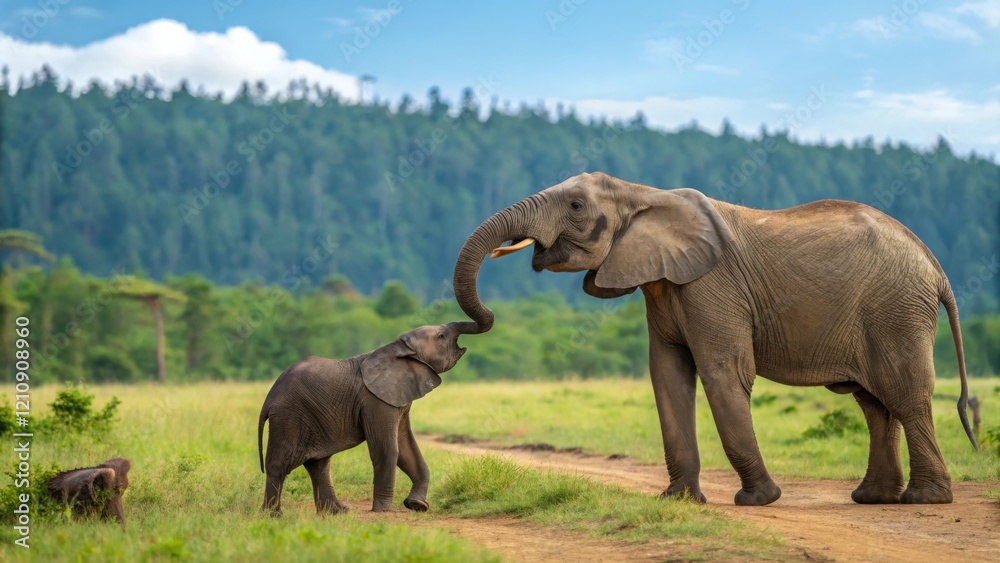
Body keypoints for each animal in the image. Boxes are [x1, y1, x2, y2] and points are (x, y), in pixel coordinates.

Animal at [258, 322, 473, 515]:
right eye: (441, 336)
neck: (398, 347)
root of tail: (269, 397)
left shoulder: (397, 400)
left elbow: (407, 448)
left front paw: (417, 505)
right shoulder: (375, 401)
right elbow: (388, 450)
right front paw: (384, 510)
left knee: (318, 463)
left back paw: (337, 511)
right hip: (288, 416)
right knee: (279, 463)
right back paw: (273, 515)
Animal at [452, 171, 977, 506]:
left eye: (577, 206)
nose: (476, 326)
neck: (643, 193)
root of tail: (935, 266)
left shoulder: (711, 286)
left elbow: (723, 372)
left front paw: (758, 500)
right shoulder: (663, 286)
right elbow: (667, 376)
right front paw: (679, 501)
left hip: (897, 311)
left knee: (903, 396)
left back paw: (925, 500)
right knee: (873, 404)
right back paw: (872, 499)